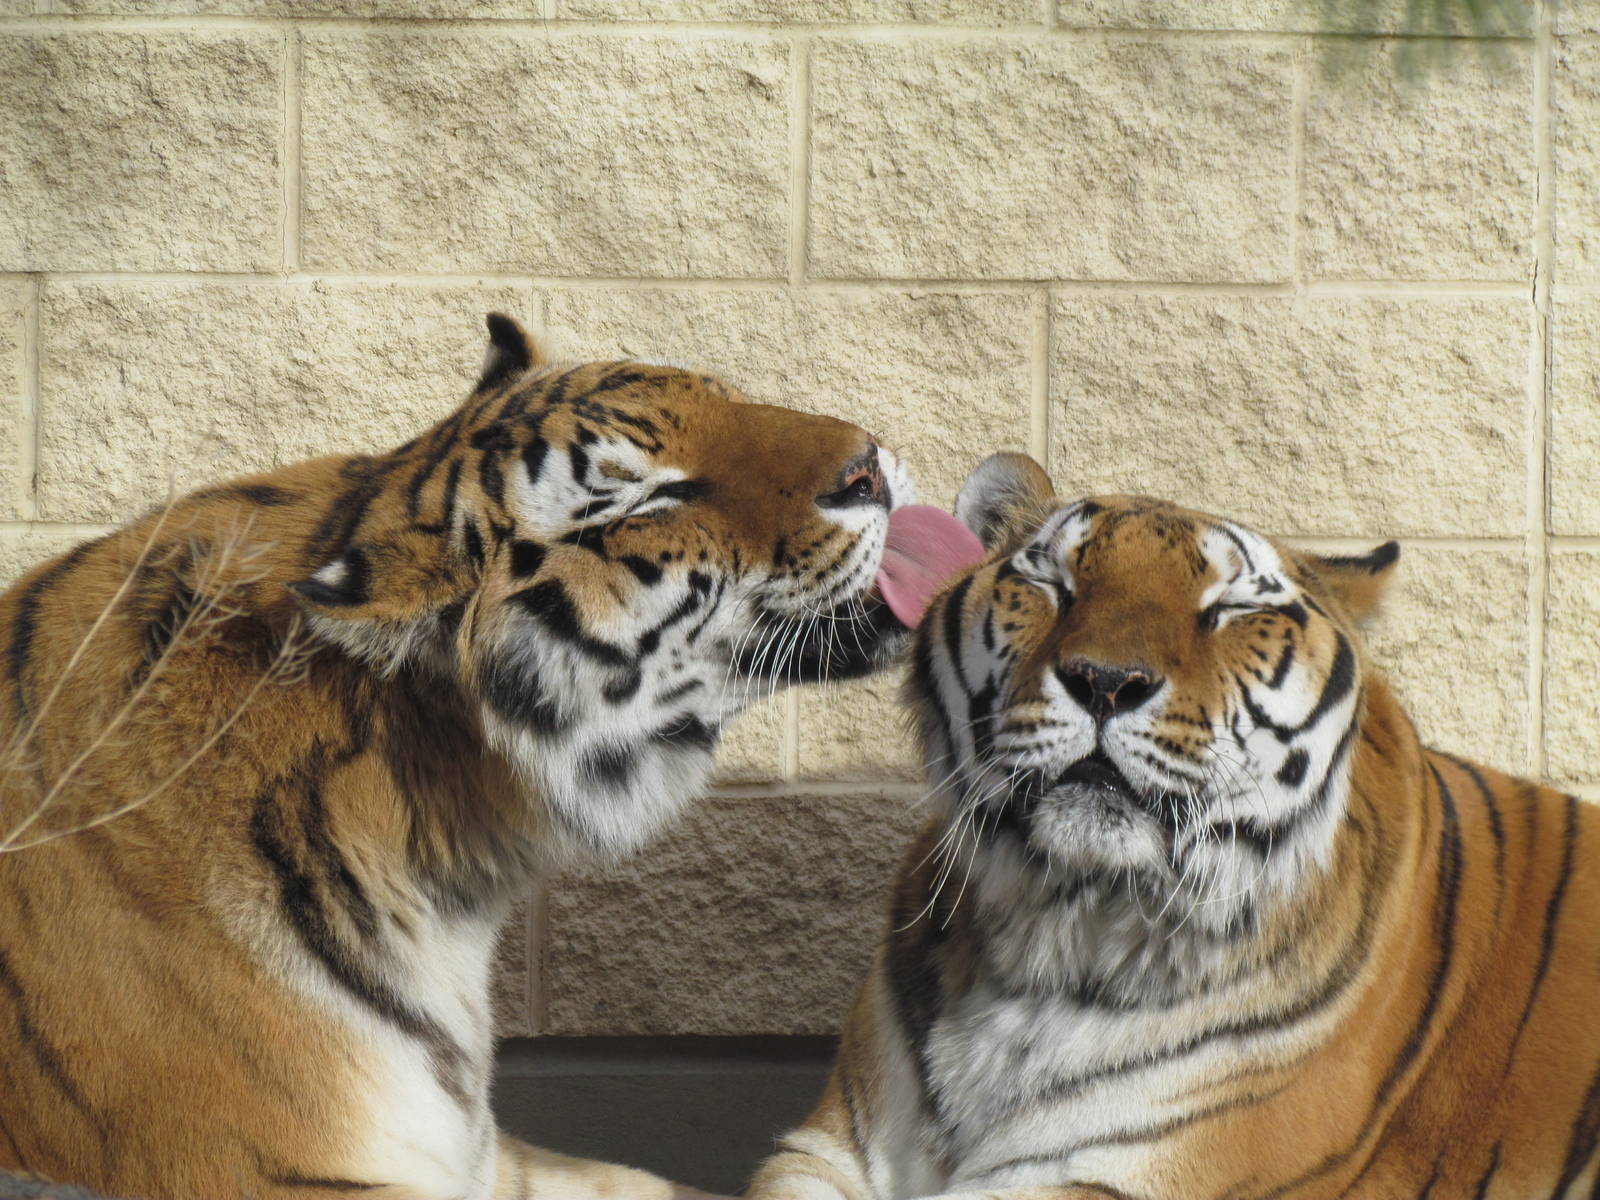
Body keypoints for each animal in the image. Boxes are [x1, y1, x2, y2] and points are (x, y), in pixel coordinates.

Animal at [749, 451, 1600, 1200]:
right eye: (1053, 583)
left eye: (1228, 611)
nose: (1105, 681)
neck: (1054, 927)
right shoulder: (824, 1149)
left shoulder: (1126, 1176)